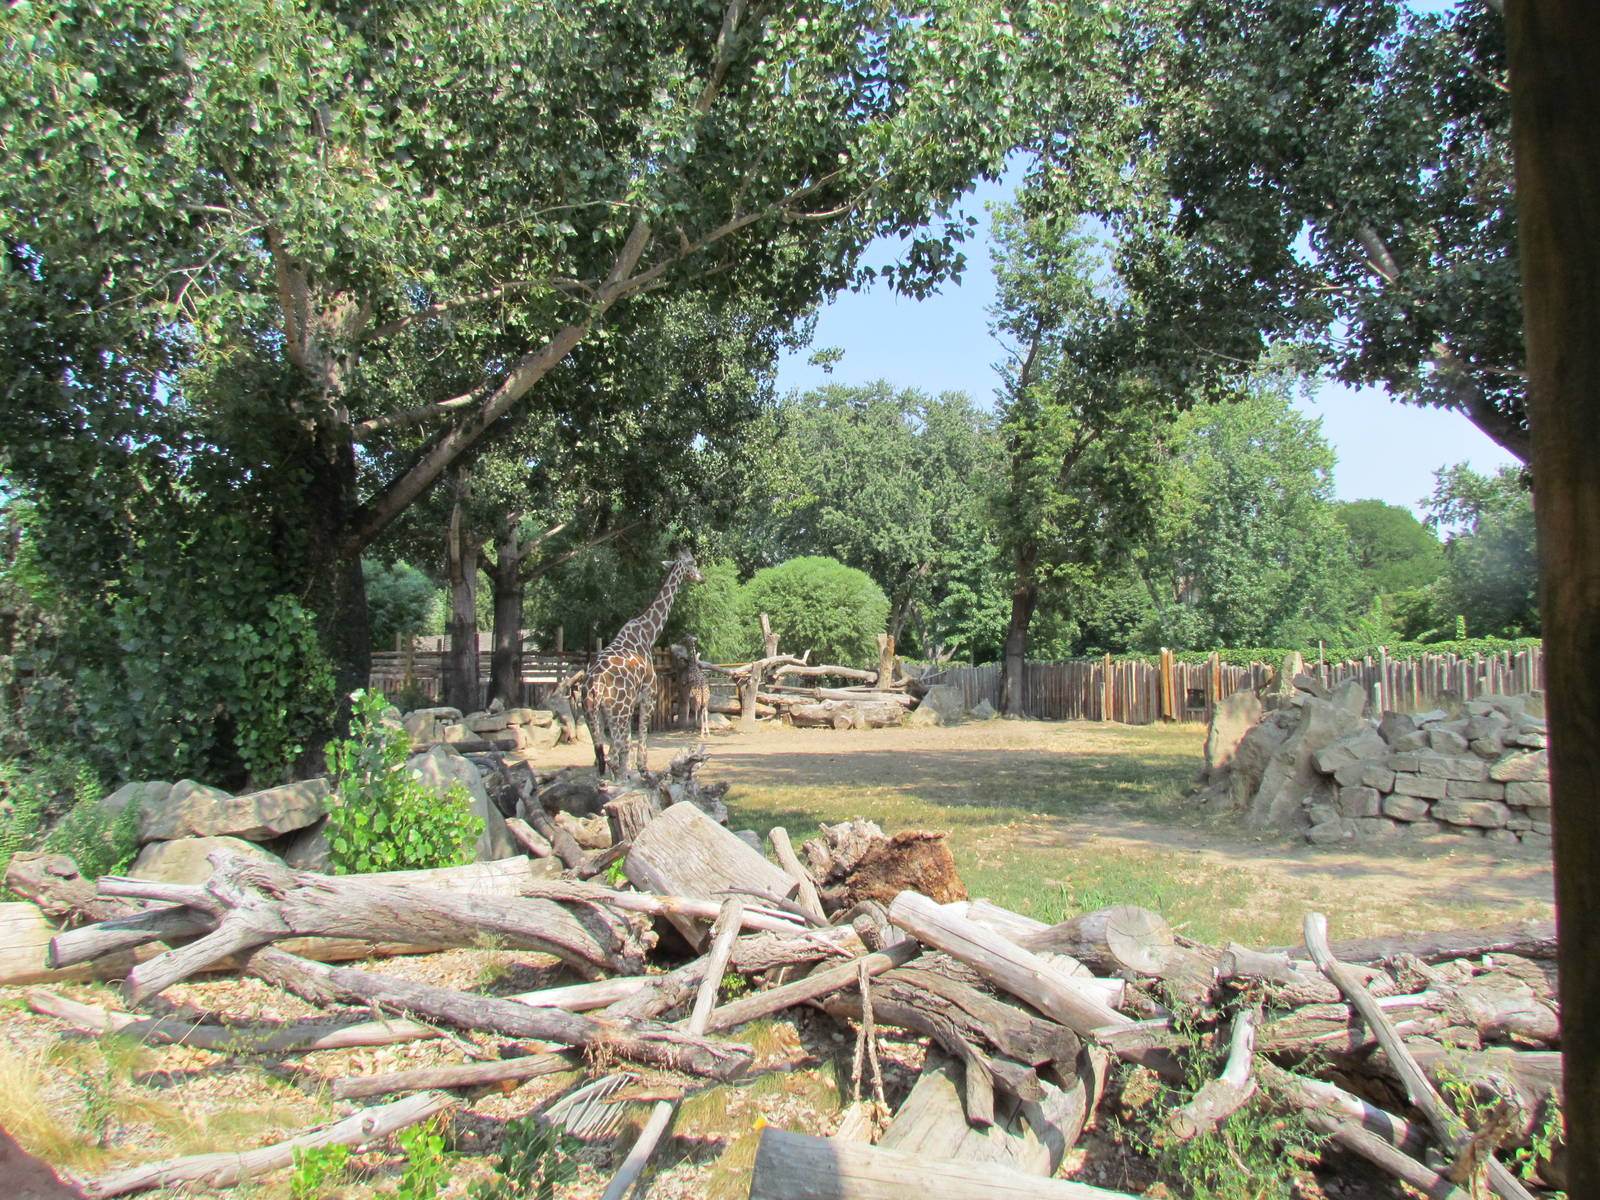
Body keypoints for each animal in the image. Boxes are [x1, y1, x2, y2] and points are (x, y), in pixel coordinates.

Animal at [574, 549, 703, 778]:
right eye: (693, 563)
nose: (701, 578)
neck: (648, 634)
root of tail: (593, 686)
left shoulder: (632, 702)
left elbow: (626, 745)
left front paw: (629, 774)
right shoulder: (648, 695)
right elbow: (640, 735)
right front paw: (643, 771)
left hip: (594, 714)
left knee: (600, 757)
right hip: (619, 711)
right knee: (610, 754)